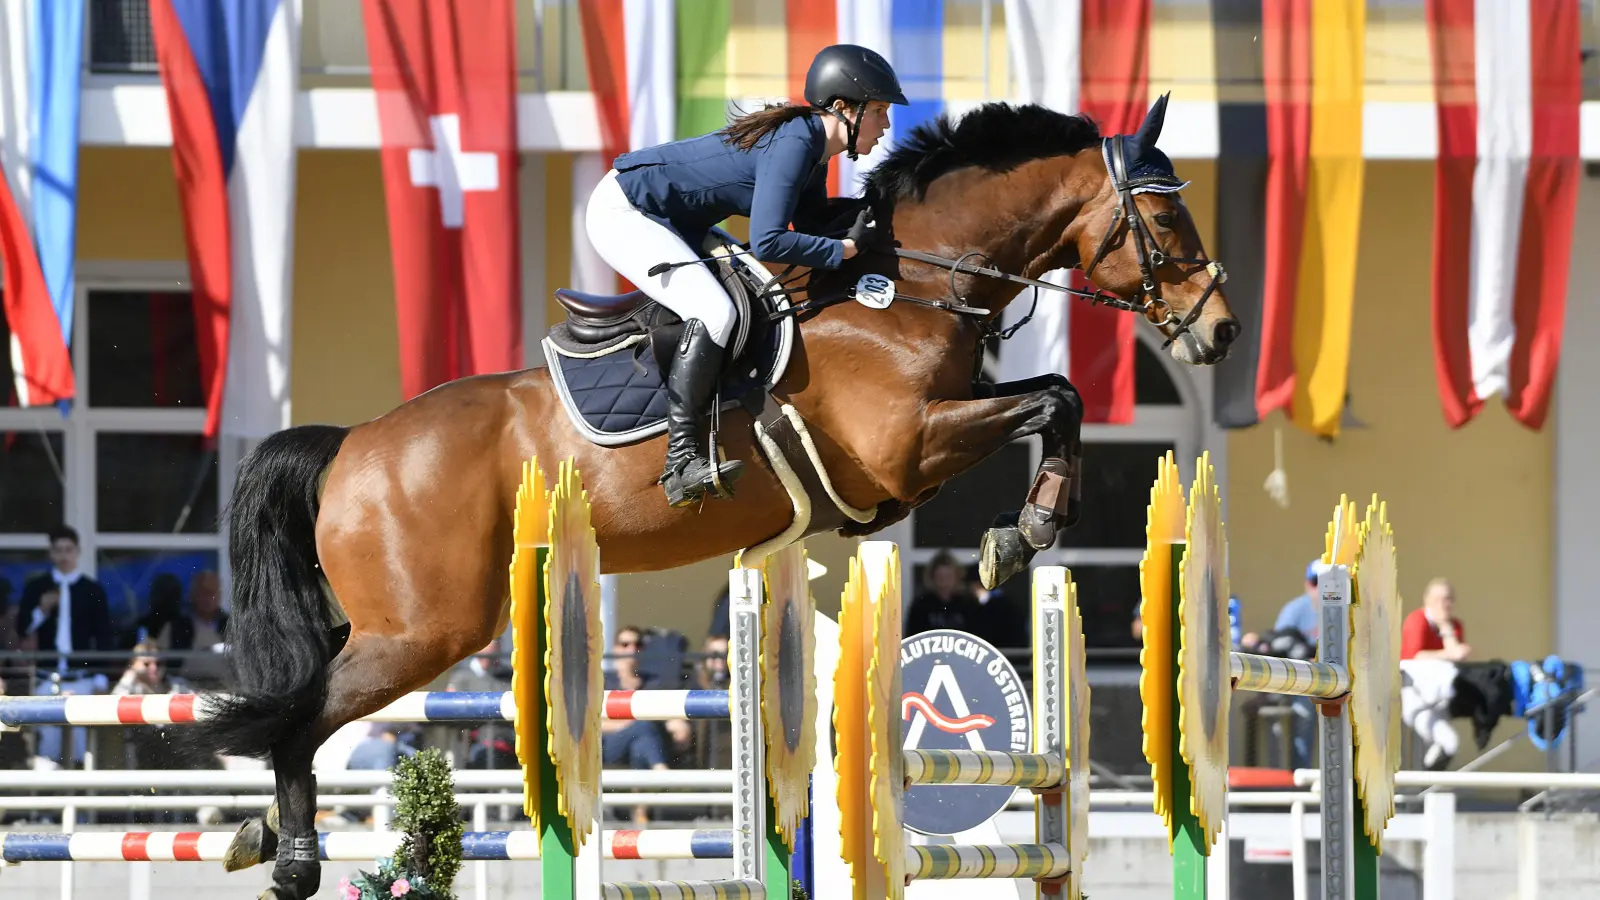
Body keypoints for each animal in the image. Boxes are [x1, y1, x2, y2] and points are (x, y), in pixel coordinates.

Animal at [190, 94, 1235, 890]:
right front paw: (1026, 529)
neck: (900, 286)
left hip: (400, 622)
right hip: (424, 630)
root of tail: (351, 445)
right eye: (1166, 221)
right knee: (301, 716)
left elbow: (1058, 396)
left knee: (299, 700)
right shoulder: (906, 451)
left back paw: (257, 832)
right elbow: (1058, 397)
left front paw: (1025, 528)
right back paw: (293, 858)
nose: (1220, 333)